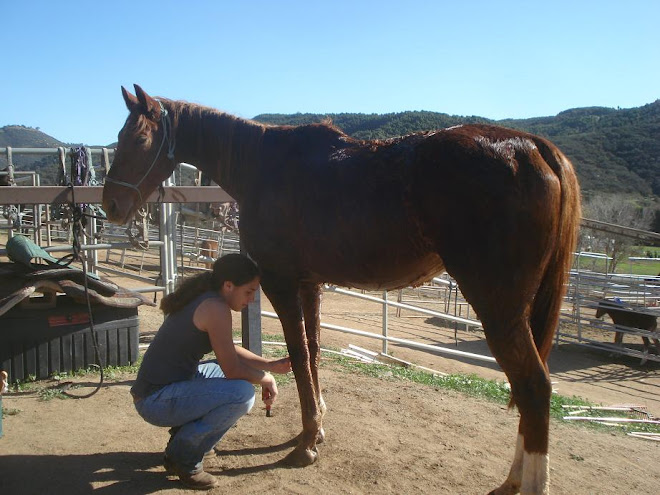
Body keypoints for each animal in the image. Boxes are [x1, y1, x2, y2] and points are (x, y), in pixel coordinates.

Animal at [100, 86, 580, 495]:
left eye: (137, 137)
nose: (110, 206)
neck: (264, 165)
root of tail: (532, 146)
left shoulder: (280, 282)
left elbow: (298, 355)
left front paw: (306, 444)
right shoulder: (309, 285)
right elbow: (312, 353)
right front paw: (315, 429)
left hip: (498, 307)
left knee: (534, 387)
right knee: (527, 392)